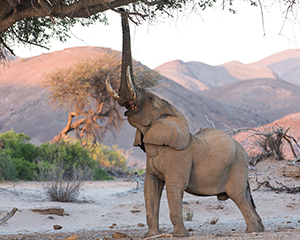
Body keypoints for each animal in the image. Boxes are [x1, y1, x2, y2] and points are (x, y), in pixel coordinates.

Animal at [106, 11, 264, 238]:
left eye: (150, 98)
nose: (122, 11)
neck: (169, 114)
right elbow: (150, 188)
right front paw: (151, 235)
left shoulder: (179, 155)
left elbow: (174, 186)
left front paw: (180, 235)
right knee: (245, 195)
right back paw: (259, 228)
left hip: (238, 165)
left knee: (239, 195)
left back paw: (252, 231)